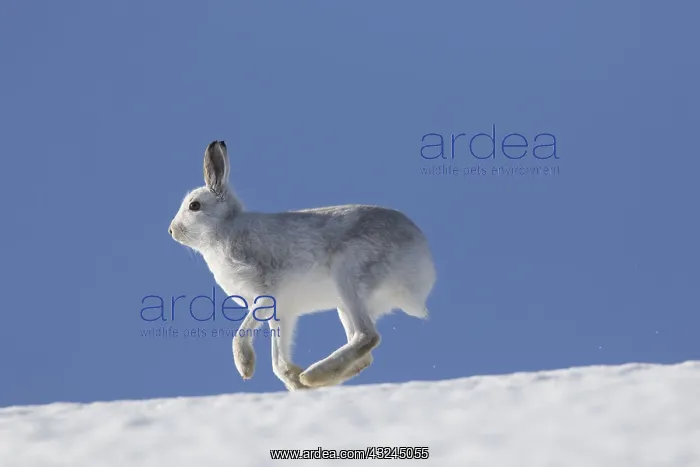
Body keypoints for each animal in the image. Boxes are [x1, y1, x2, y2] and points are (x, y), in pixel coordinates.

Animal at [169, 140, 436, 391]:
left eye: (194, 206)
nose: (172, 231)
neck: (223, 228)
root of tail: (423, 259)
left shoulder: (266, 293)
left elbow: (242, 334)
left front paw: (246, 366)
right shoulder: (283, 312)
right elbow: (278, 360)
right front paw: (293, 383)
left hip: (349, 277)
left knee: (367, 337)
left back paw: (312, 375)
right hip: (345, 304)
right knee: (364, 354)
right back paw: (312, 380)